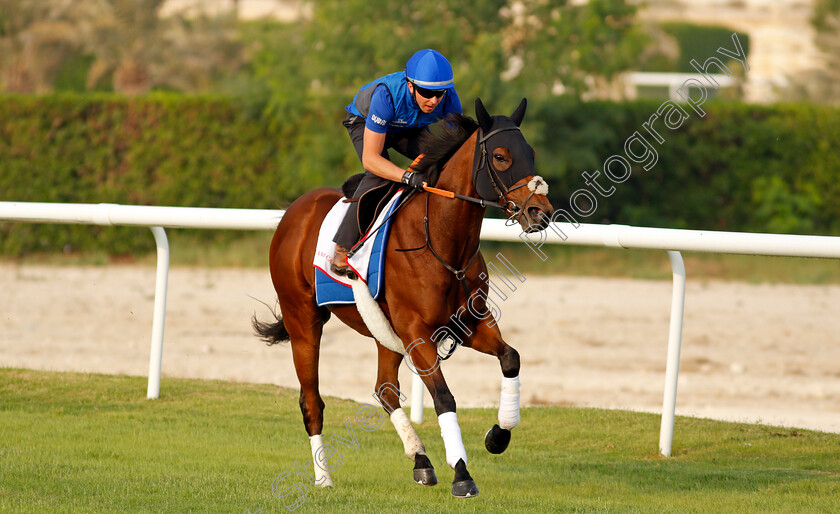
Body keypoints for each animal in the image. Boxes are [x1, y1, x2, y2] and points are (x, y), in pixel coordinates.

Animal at [256, 98, 556, 494]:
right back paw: (323, 477)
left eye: (531, 153)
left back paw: (421, 461)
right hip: (303, 321)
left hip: (384, 331)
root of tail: (292, 213)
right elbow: (443, 397)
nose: (541, 211)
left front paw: (497, 436)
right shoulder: (416, 332)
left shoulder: (467, 323)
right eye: (502, 156)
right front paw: (462, 473)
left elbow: (511, 358)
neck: (442, 242)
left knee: (385, 389)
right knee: (312, 401)